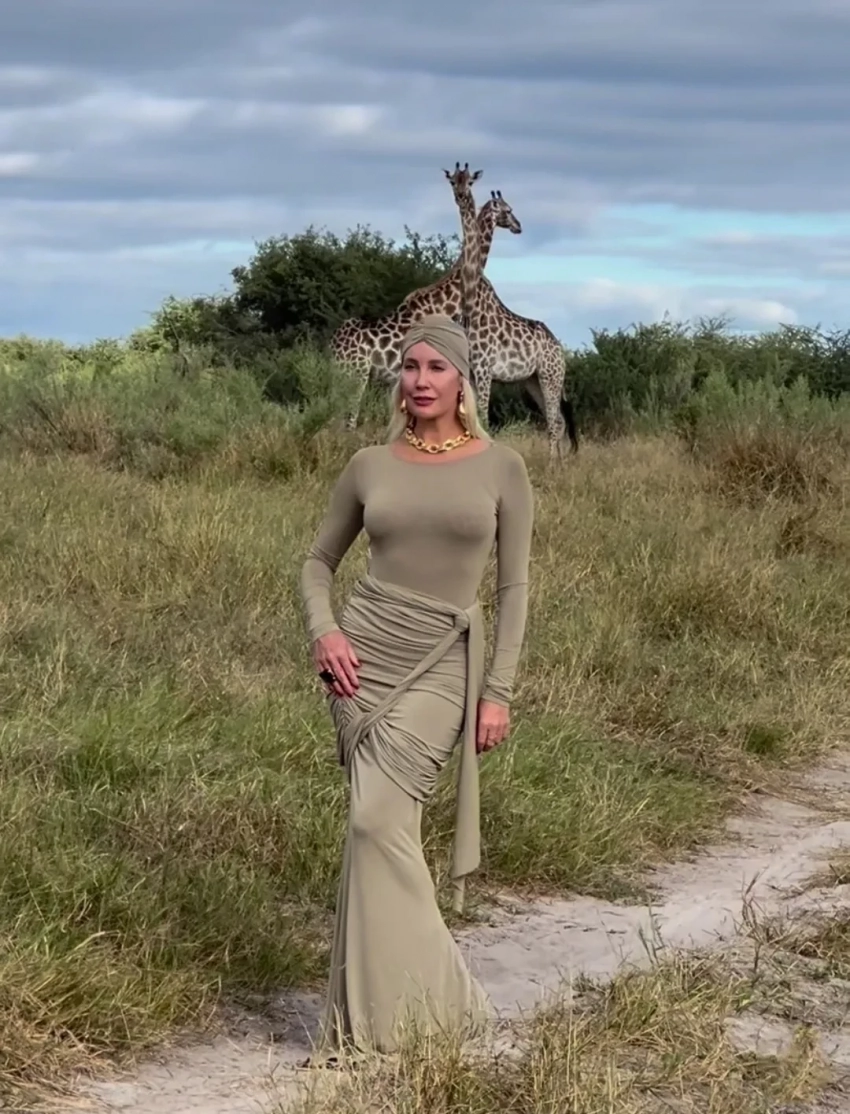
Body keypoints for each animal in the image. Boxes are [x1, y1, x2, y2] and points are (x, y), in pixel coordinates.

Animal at [331, 182, 521, 430]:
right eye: (508, 210)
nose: (519, 226)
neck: (446, 302)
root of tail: (334, 344)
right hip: (356, 373)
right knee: (346, 419)